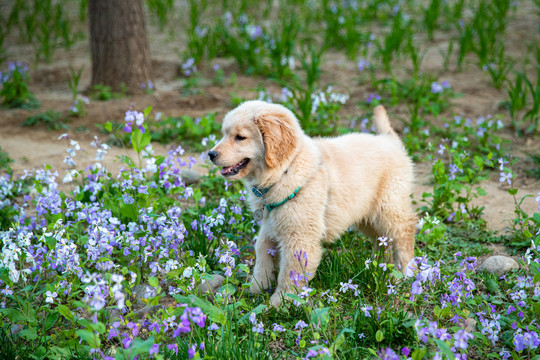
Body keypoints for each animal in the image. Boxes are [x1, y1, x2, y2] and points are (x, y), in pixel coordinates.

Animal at [209, 101, 416, 306]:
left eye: (240, 137)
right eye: (224, 134)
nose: (211, 154)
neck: (285, 169)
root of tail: (389, 140)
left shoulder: (299, 236)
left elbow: (290, 272)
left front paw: (280, 301)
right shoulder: (269, 225)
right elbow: (262, 254)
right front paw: (255, 288)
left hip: (389, 206)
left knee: (404, 233)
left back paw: (404, 273)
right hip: (366, 214)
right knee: (382, 239)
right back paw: (377, 266)